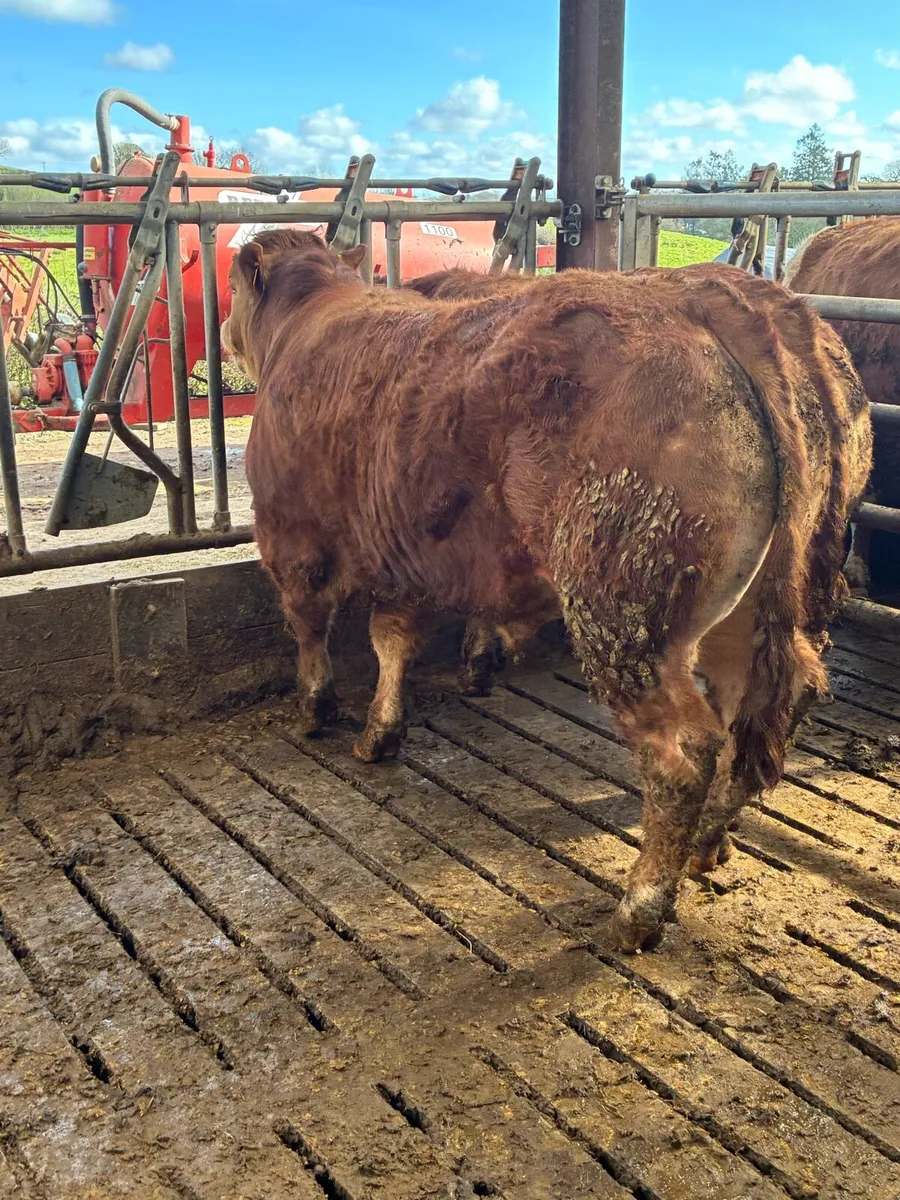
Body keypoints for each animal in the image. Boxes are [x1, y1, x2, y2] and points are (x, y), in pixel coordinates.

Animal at [222, 229, 871, 953]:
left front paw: (317, 709)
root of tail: (717, 296)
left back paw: (639, 909)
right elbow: (393, 639)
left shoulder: (292, 537)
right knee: (760, 710)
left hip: (620, 609)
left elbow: (312, 629)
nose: (221, 331)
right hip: (752, 609)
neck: (312, 316)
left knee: (682, 751)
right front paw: (383, 730)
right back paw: (708, 844)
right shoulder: (401, 553)